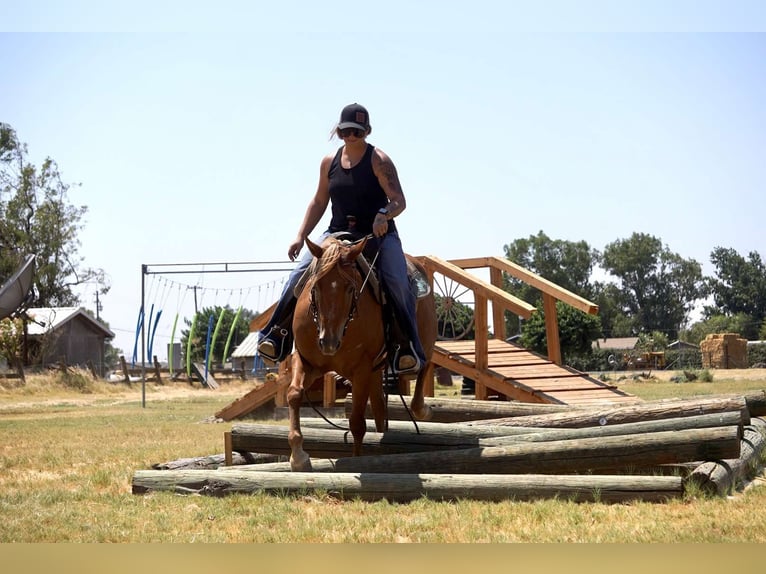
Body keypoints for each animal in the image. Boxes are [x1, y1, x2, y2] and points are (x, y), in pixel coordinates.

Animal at [286, 235, 437, 471]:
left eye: (350, 288)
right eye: (316, 286)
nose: (328, 342)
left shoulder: (362, 370)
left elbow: (357, 423)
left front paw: (357, 461)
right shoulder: (307, 362)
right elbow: (293, 393)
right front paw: (298, 457)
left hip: (425, 342)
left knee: (424, 368)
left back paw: (423, 408)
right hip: (375, 372)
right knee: (380, 411)